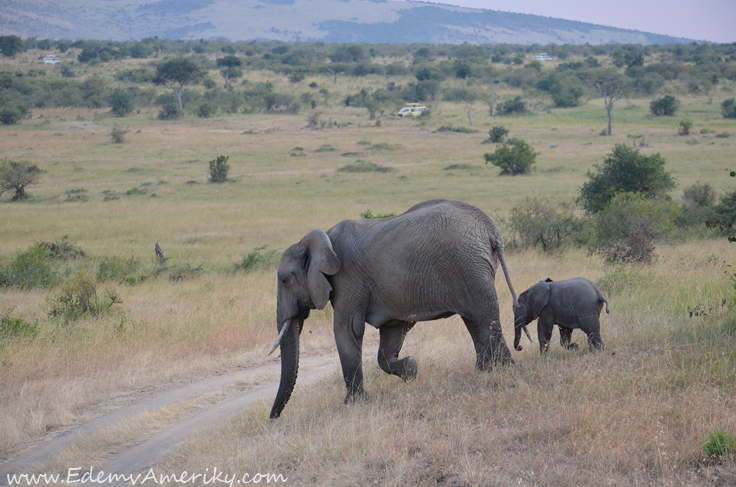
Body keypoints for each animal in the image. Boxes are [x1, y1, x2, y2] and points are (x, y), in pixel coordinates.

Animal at [268, 199, 520, 420]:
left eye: (285, 280)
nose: (274, 418)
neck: (317, 240)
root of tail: (491, 230)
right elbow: (392, 332)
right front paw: (411, 369)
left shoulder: (347, 279)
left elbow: (347, 330)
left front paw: (353, 404)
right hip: (471, 266)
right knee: (474, 320)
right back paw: (483, 371)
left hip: (467, 263)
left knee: (484, 317)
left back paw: (504, 371)